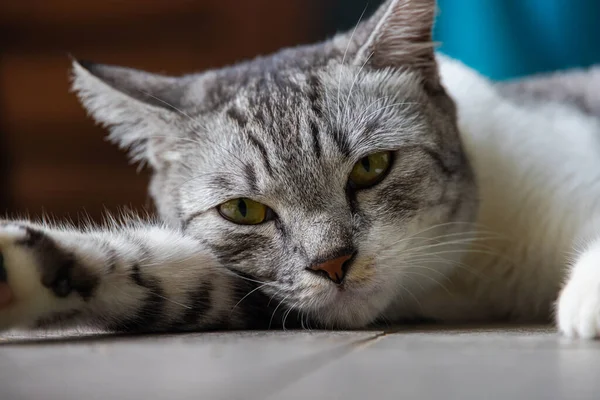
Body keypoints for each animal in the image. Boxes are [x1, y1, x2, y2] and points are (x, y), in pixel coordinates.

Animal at [1, 0, 600, 338]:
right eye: (244, 210)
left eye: (371, 167)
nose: (333, 263)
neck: (469, 278)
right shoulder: (251, 290)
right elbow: (159, 275)